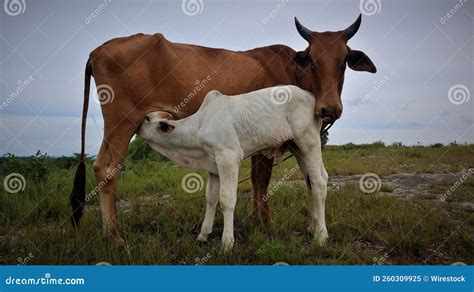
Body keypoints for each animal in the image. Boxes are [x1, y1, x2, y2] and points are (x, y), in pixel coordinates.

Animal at [139, 85, 328, 250]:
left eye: (147, 119)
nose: (137, 125)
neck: (199, 125)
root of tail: (309, 95)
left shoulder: (228, 157)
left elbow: (226, 199)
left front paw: (227, 242)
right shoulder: (213, 166)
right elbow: (211, 198)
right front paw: (203, 234)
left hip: (309, 142)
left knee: (318, 182)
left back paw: (321, 236)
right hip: (297, 149)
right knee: (313, 181)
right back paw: (313, 227)